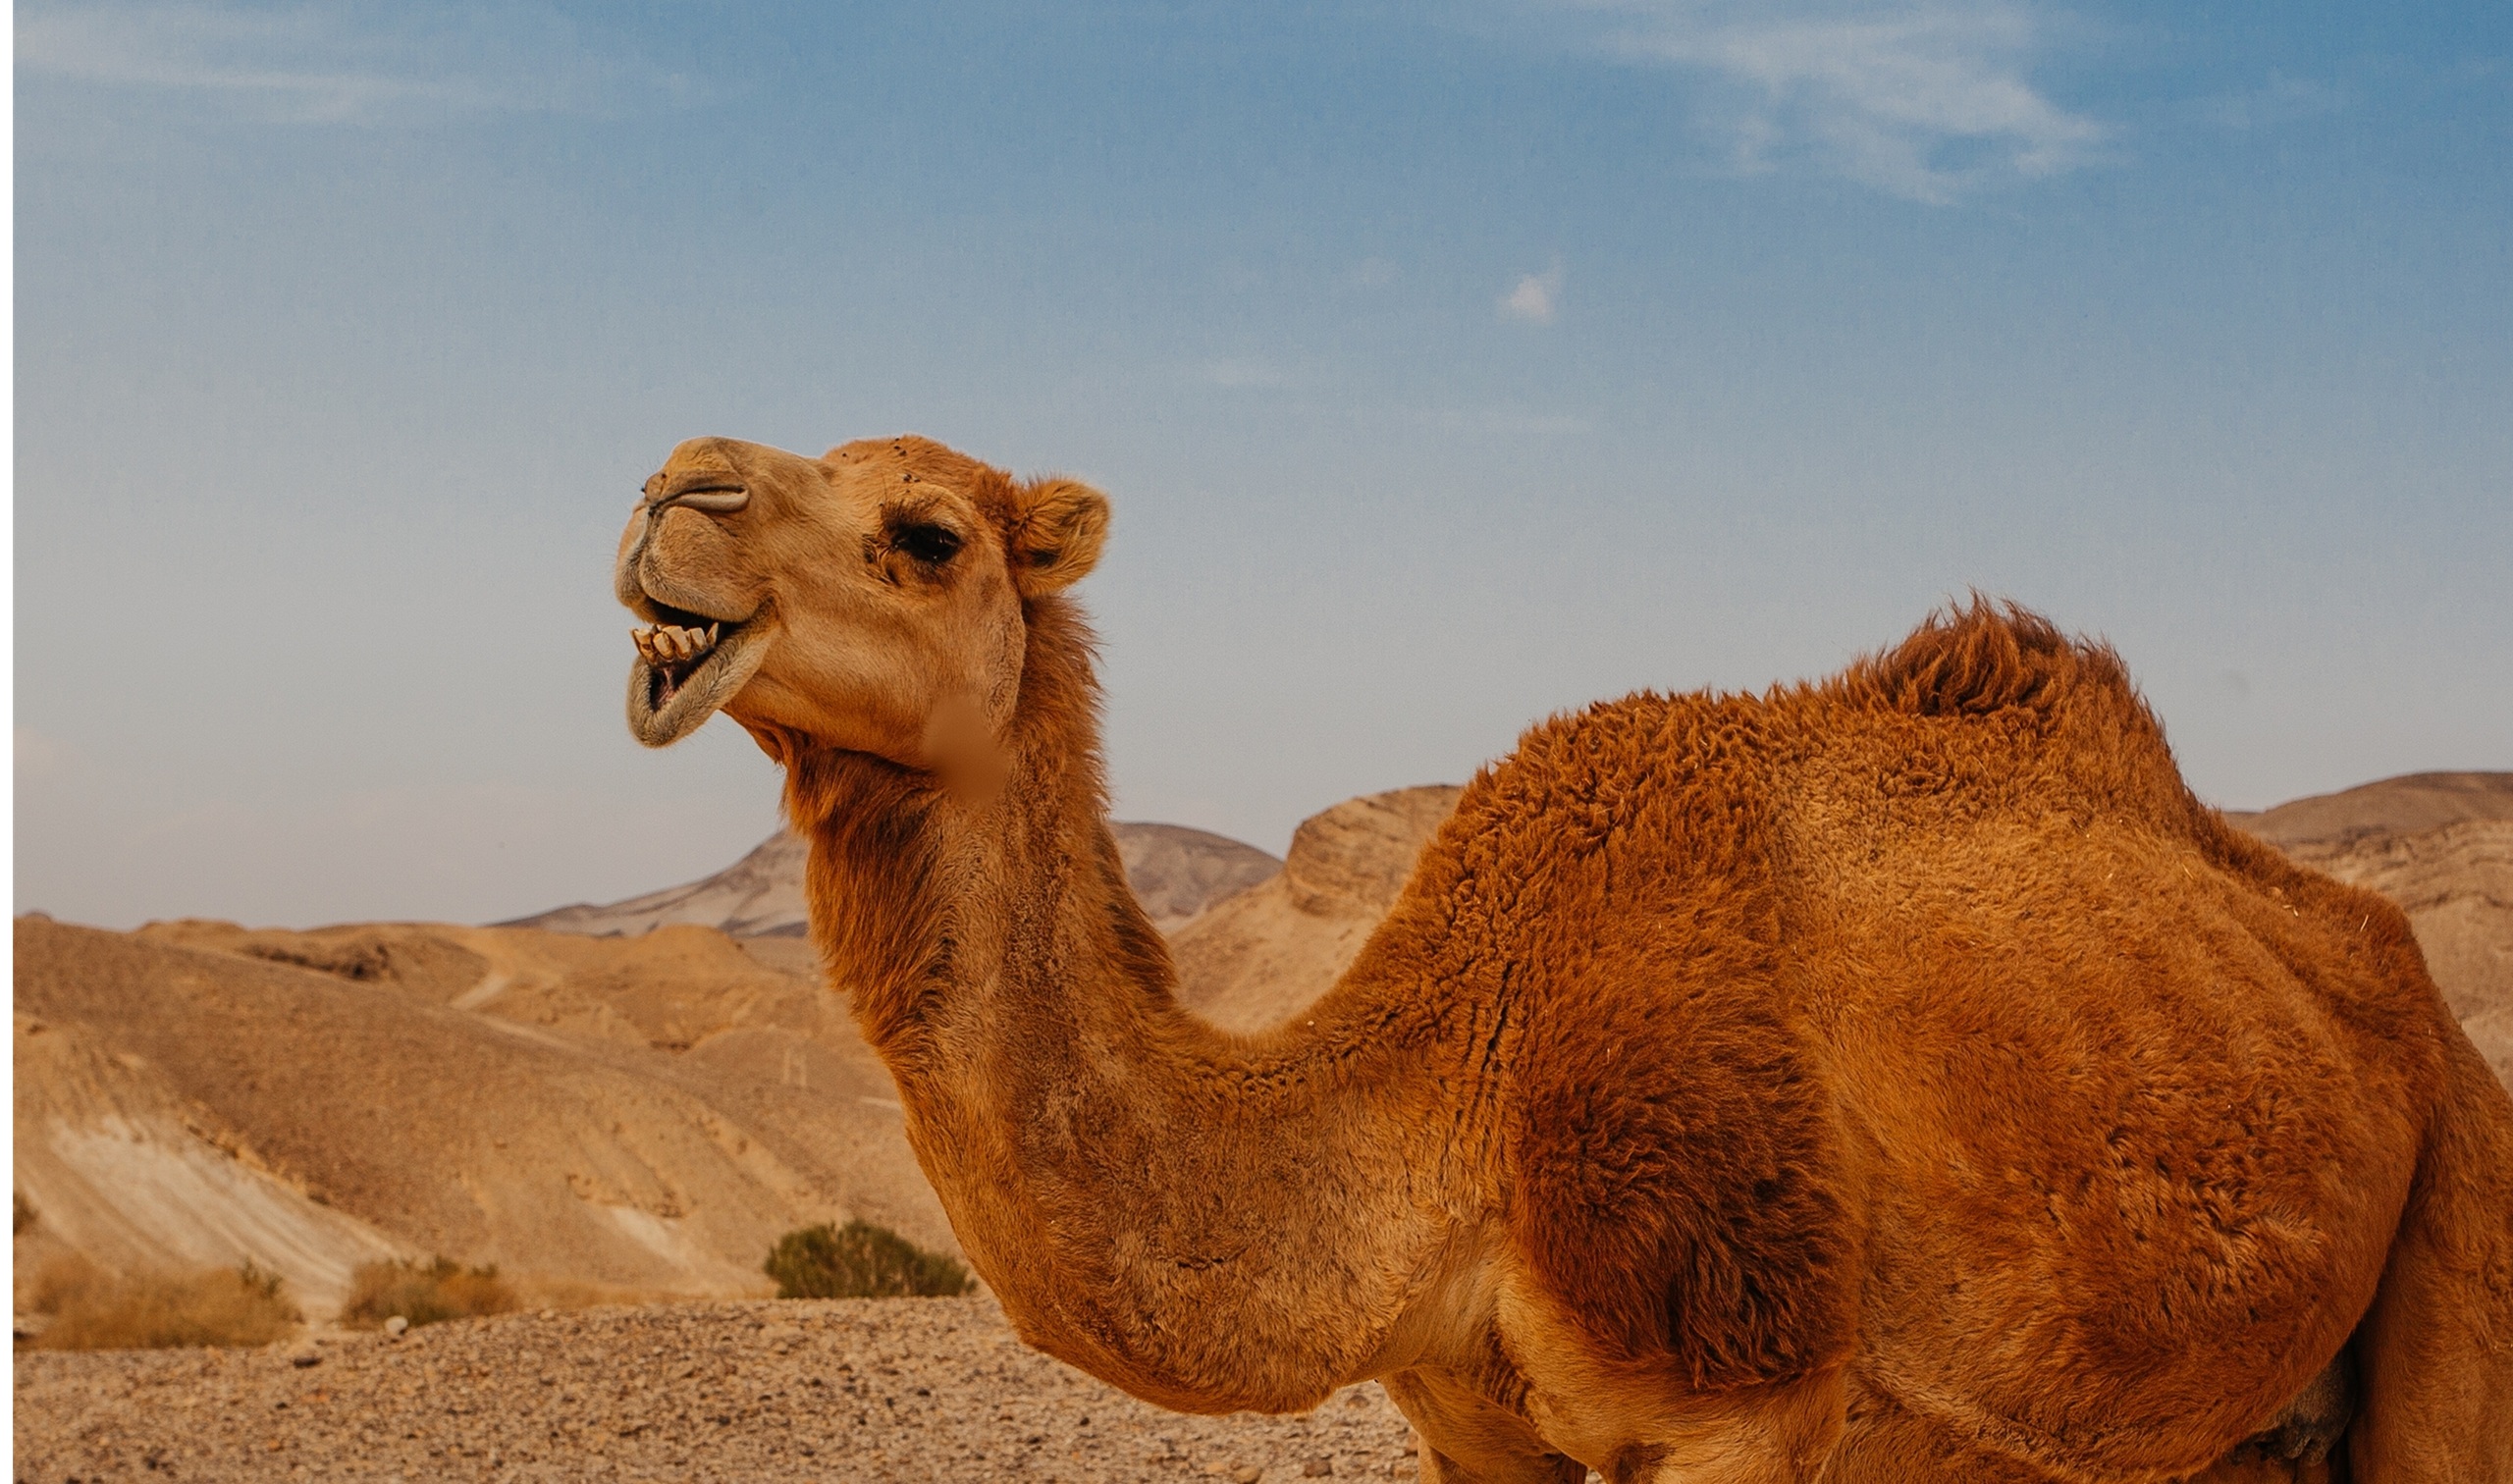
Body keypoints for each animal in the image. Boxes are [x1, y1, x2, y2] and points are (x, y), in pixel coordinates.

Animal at [611, 433, 2513, 1482]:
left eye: (927, 533)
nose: (666, 493)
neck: (1459, 1088)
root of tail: (2413, 1002)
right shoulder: (1469, 1424)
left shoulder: (1745, 1398)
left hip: (2458, 1231)